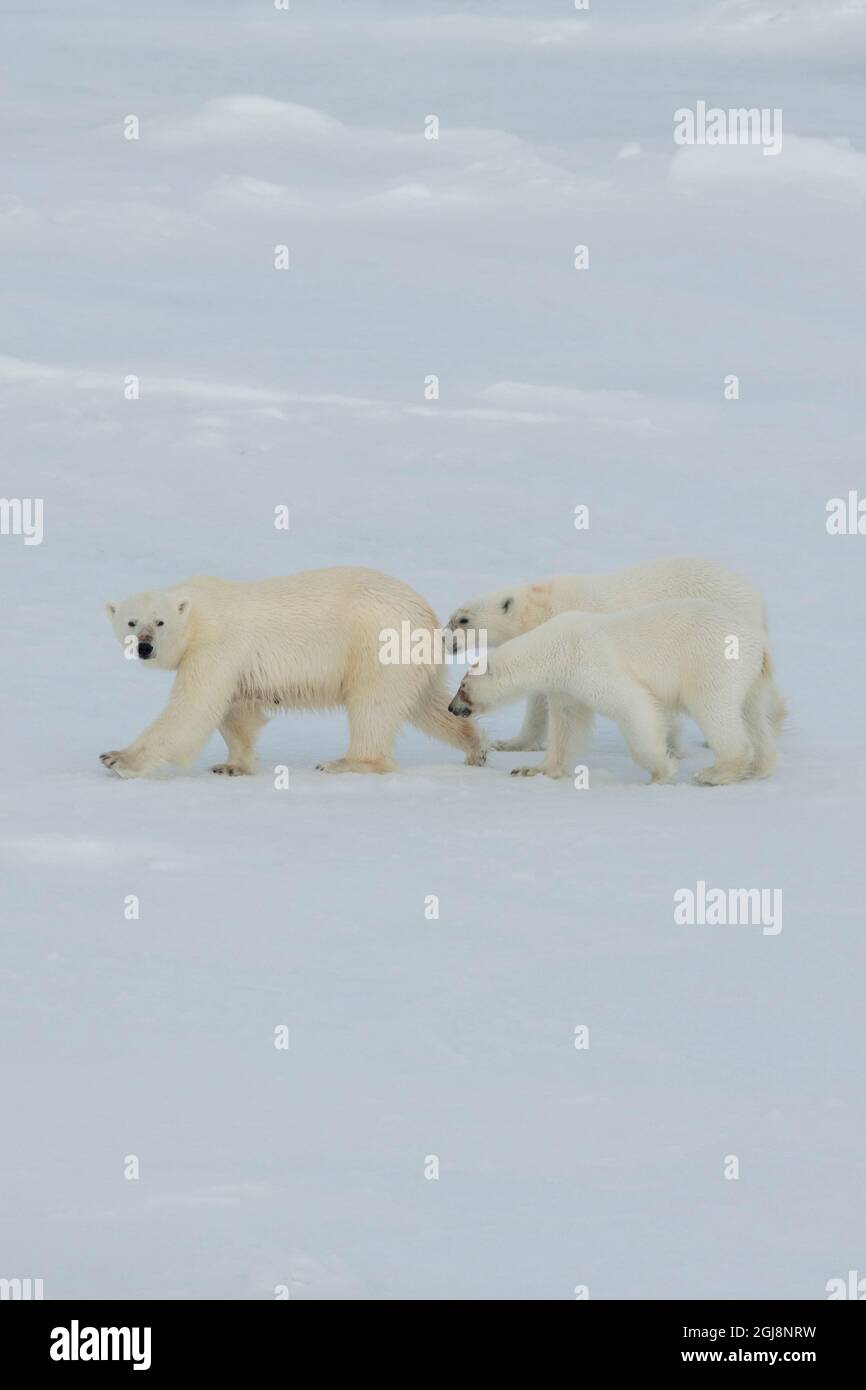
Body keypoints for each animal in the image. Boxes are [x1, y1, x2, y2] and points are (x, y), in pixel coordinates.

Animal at [102, 567, 487, 777]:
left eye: (159, 622)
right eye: (132, 622)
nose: (144, 647)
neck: (197, 612)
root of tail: (425, 613)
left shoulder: (216, 643)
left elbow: (193, 708)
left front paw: (118, 759)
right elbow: (235, 711)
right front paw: (233, 764)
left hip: (377, 644)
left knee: (373, 706)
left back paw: (345, 763)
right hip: (414, 659)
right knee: (426, 705)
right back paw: (475, 746)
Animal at [446, 556, 786, 754]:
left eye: (463, 619)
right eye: (453, 617)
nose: (445, 640)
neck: (541, 605)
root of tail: (755, 596)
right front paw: (511, 743)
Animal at [448, 598, 779, 786]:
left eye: (463, 687)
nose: (452, 708)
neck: (554, 647)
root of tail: (759, 644)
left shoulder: (588, 662)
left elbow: (634, 705)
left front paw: (661, 771)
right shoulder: (565, 686)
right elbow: (567, 725)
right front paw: (533, 769)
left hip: (712, 664)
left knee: (715, 709)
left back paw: (716, 773)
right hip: (752, 679)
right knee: (752, 715)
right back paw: (758, 767)